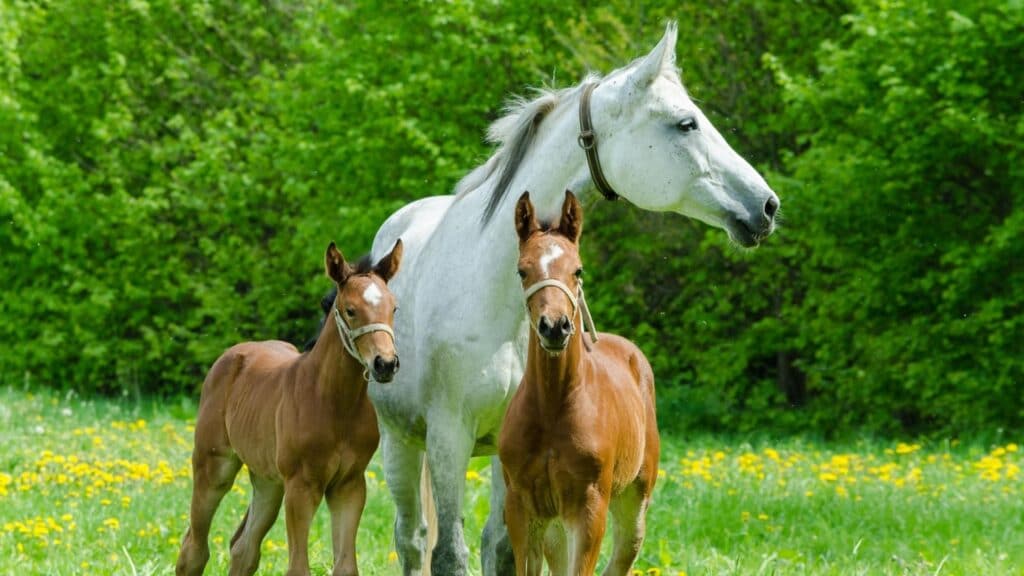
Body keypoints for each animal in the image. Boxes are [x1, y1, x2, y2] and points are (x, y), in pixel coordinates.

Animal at [176, 238, 399, 573]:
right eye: (350, 311)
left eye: (393, 308)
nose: (385, 363)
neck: (335, 403)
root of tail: (232, 354)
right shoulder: (301, 486)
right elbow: (298, 567)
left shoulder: (349, 485)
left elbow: (346, 566)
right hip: (213, 466)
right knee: (194, 548)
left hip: (268, 480)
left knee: (244, 547)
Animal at [497, 190, 659, 569]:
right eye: (522, 270)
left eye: (578, 269)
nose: (555, 327)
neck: (553, 408)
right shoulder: (521, 506)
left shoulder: (589, 508)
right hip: (555, 526)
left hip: (634, 502)